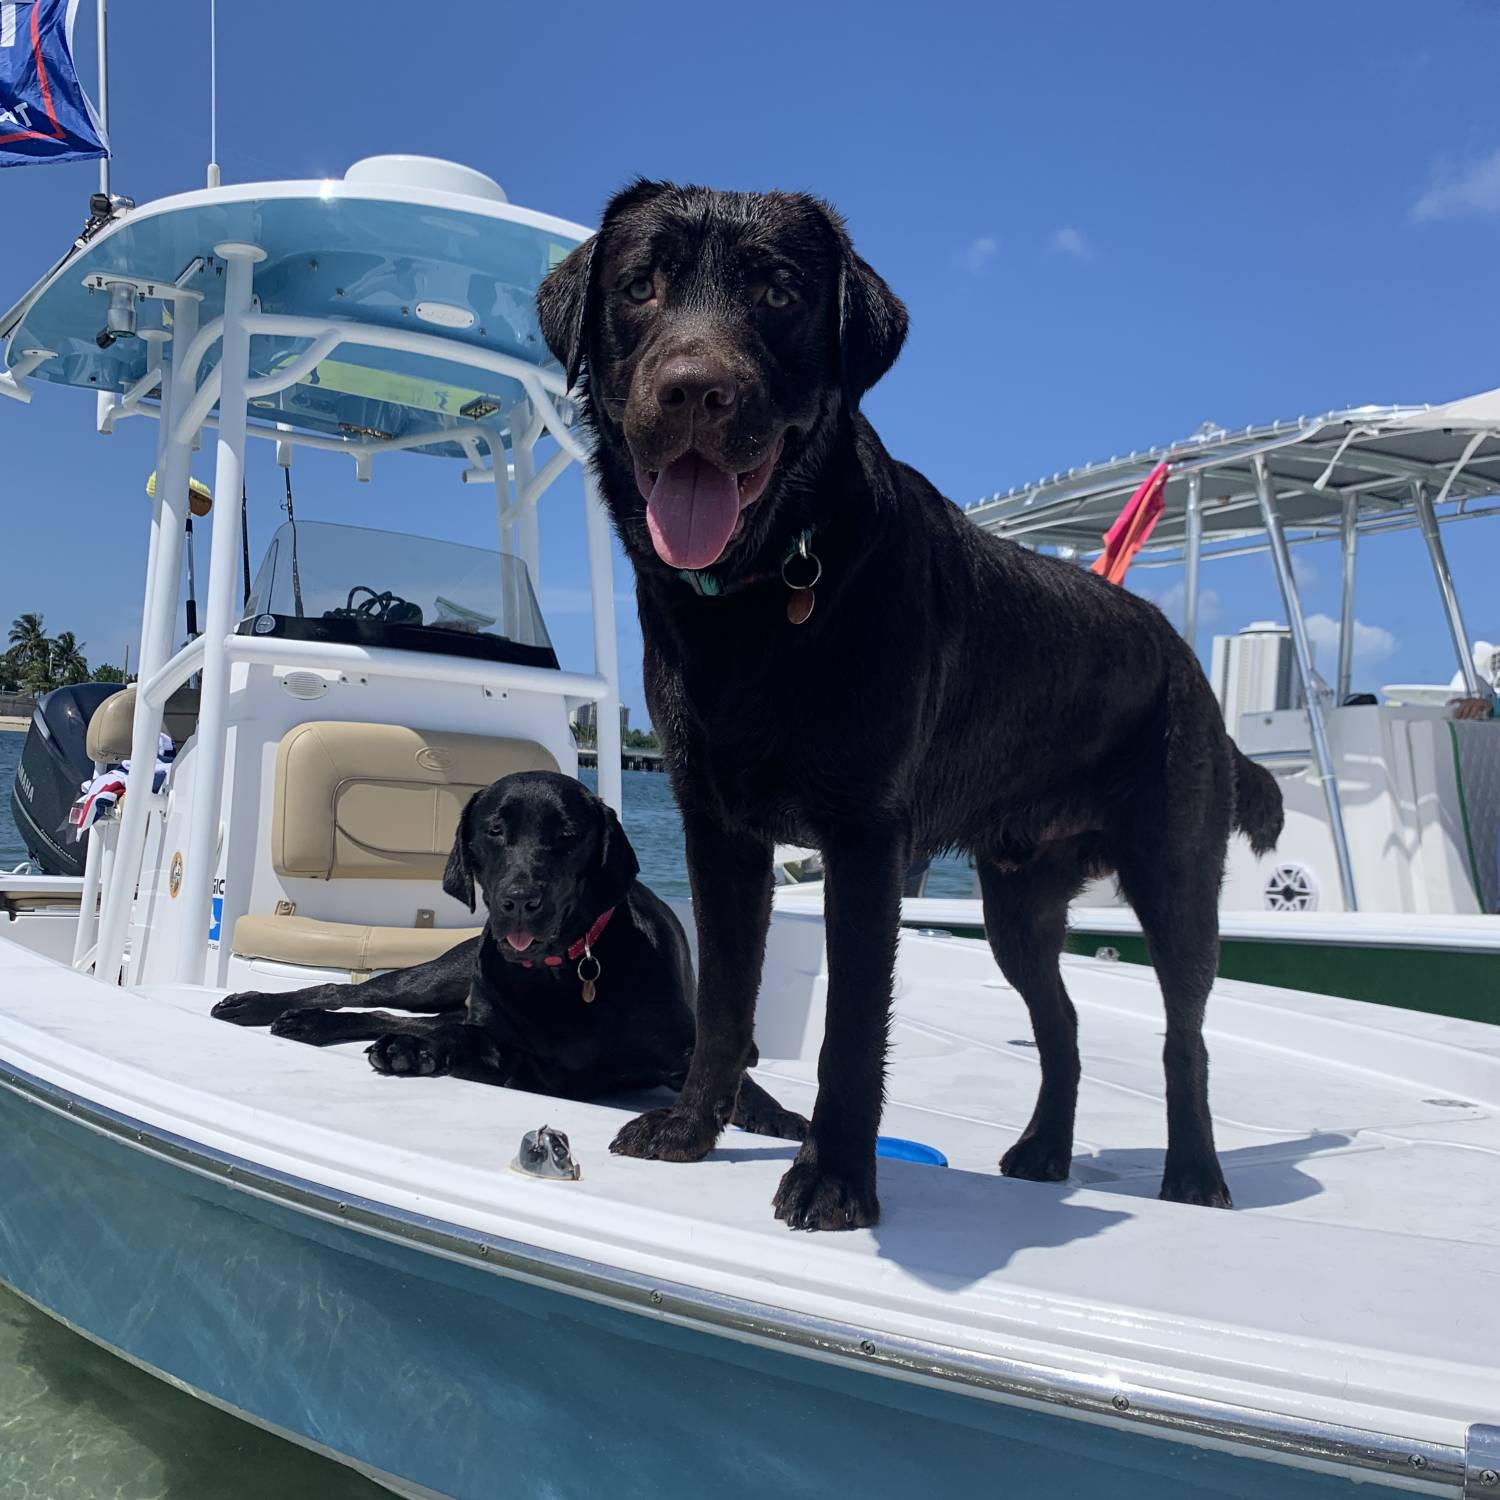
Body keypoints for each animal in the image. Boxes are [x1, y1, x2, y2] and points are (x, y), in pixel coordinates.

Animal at [211, 774, 810, 1134]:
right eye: (495, 830)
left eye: (568, 835)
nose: (519, 900)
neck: (562, 975)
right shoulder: (513, 1050)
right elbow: (464, 1038)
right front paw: (418, 1053)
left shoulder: (674, 1051)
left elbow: (730, 1078)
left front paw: (782, 1118)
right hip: (439, 976)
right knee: (357, 992)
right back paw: (271, 1007)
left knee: (391, 1015)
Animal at [534, 178, 1284, 1230]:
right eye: (642, 284)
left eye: (776, 294)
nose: (694, 388)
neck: (763, 593)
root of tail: (1188, 661)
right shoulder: (718, 831)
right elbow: (722, 1004)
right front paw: (689, 1132)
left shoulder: (864, 840)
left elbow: (850, 1029)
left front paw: (835, 1179)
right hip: (1018, 909)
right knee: (1062, 1025)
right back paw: (1044, 1151)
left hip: (1175, 882)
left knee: (1186, 1037)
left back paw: (1196, 1175)